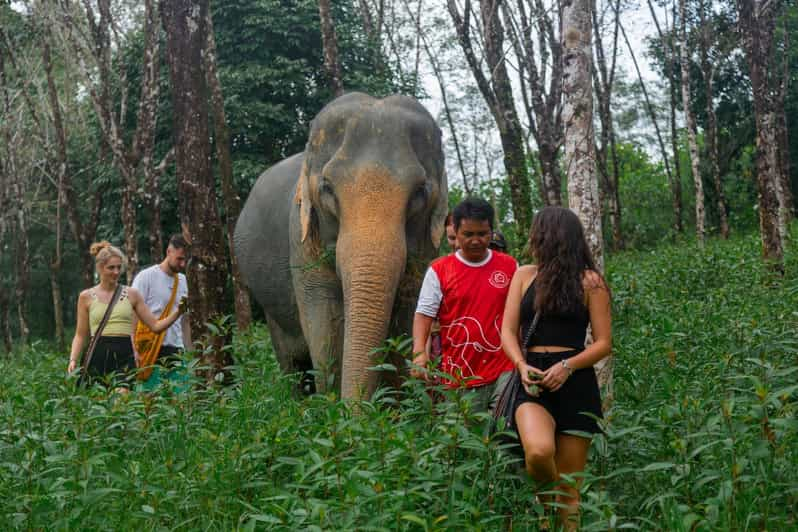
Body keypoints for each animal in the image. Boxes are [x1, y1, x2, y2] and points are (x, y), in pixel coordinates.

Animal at [236, 92, 450, 400]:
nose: (359, 408)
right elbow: (324, 318)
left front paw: (391, 406)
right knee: (290, 362)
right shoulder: (300, 235)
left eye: (420, 192)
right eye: (327, 188)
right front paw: (337, 407)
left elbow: (408, 309)